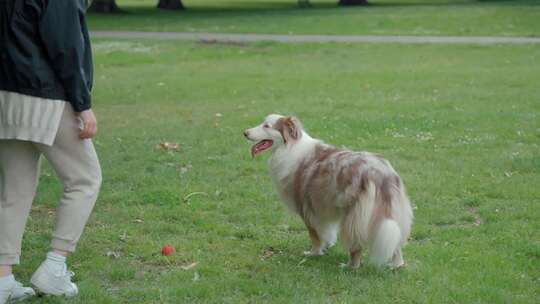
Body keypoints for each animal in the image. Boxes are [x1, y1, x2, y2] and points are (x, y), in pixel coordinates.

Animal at [245, 114, 414, 268]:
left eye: (266, 126)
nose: (245, 133)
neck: (289, 147)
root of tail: (380, 173)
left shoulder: (307, 209)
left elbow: (314, 235)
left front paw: (314, 253)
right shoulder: (323, 208)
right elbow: (326, 232)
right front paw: (326, 247)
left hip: (354, 217)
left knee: (356, 246)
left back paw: (350, 266)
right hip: (393, 215)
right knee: (396, 244)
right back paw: (397, 265)